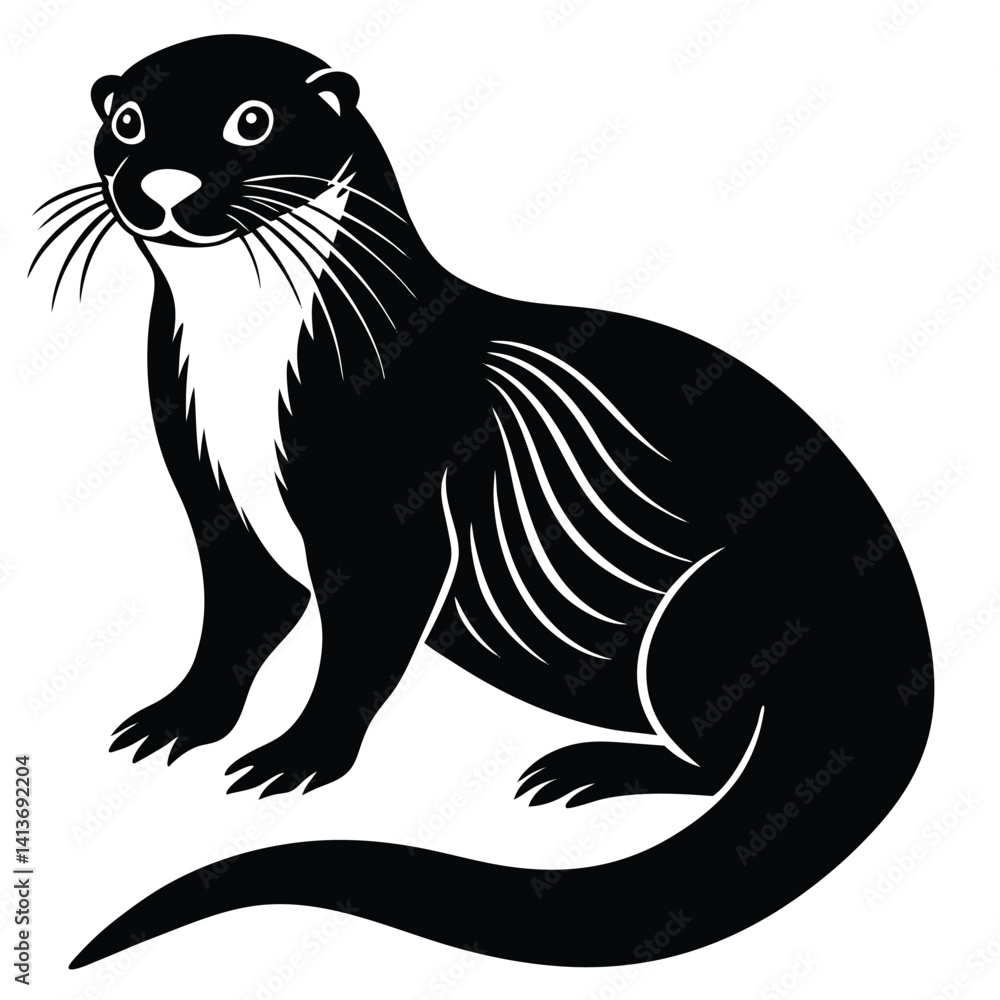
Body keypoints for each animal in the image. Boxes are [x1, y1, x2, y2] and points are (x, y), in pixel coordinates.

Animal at [32, 35, 932, 970]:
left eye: (253, 121)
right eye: (127, 122)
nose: (164, 184)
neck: (243, 375)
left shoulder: (387, 502)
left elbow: (362, 642)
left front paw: (298, 756)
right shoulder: (210, 488)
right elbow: (244, 613)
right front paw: (177, 719)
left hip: (714, 606)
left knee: (715, 761)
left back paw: (587, 770)